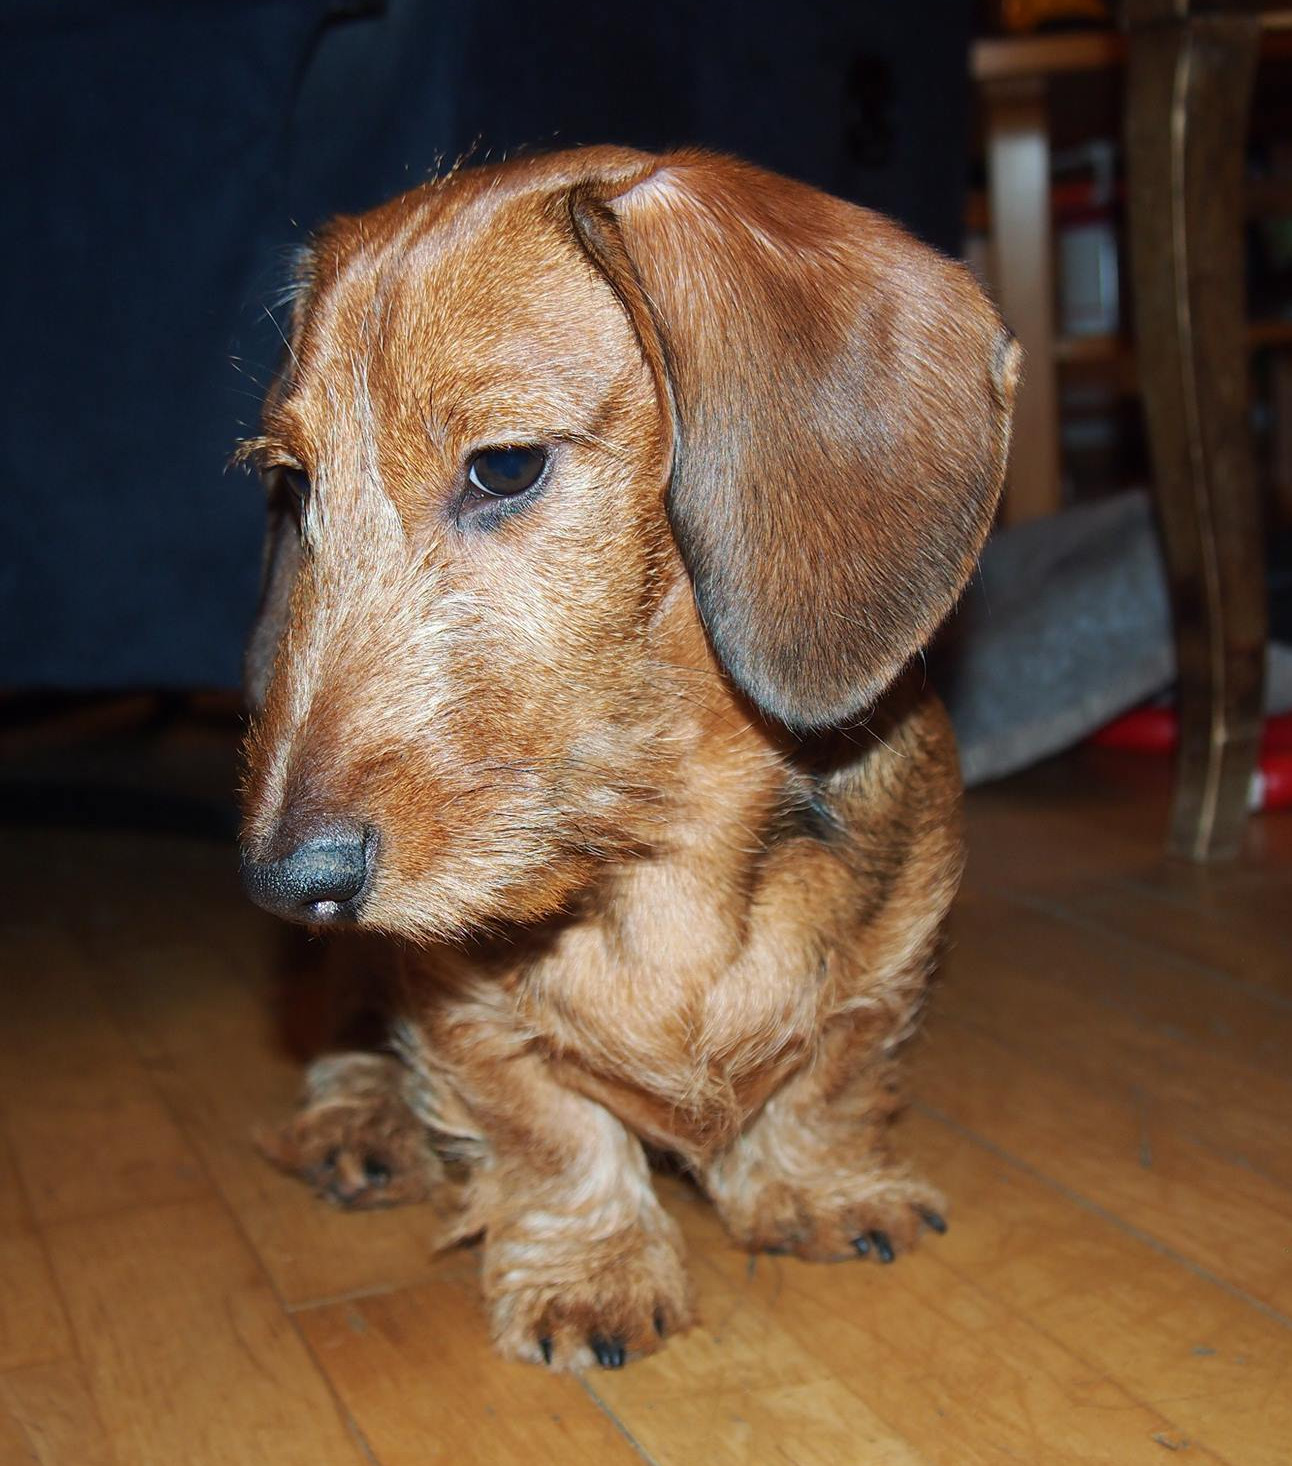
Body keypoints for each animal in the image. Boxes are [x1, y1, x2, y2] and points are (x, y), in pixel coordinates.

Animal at [238, 146, 1018, 1372]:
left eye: (505, 467)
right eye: (295, 485)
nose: (283, 884)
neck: (659, 844)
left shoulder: (894, 946)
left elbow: (834, 1069)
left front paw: (816, 1188)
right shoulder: (459, 1009)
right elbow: (546, 1131)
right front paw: (590, 1271)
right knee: (345, 1034)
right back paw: (359, 1125)